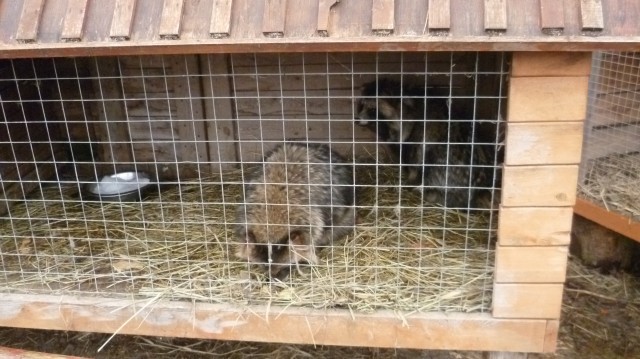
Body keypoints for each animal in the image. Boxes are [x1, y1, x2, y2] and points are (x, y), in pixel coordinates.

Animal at [356, 78, 500, 208]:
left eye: (372, 109)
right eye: (361, 105)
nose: (356, 119)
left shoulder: (417, 135)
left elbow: (415, 162)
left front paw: (410, 181)